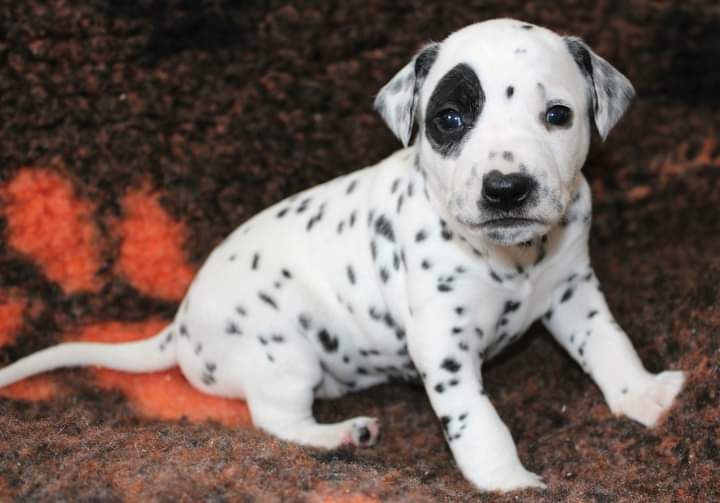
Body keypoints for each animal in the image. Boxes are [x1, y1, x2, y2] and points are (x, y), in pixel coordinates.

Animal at [0, 19, 685, 492]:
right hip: (284, 355)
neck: (513, 258)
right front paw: (507, 481)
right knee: (274, 423)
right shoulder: (443, 344)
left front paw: (644, 395)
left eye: (558, 115)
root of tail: (180, 329)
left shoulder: (574, 292)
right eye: (450, 119)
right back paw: (338, 435)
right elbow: (477, 419)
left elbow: (609, 345)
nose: (506, 188)